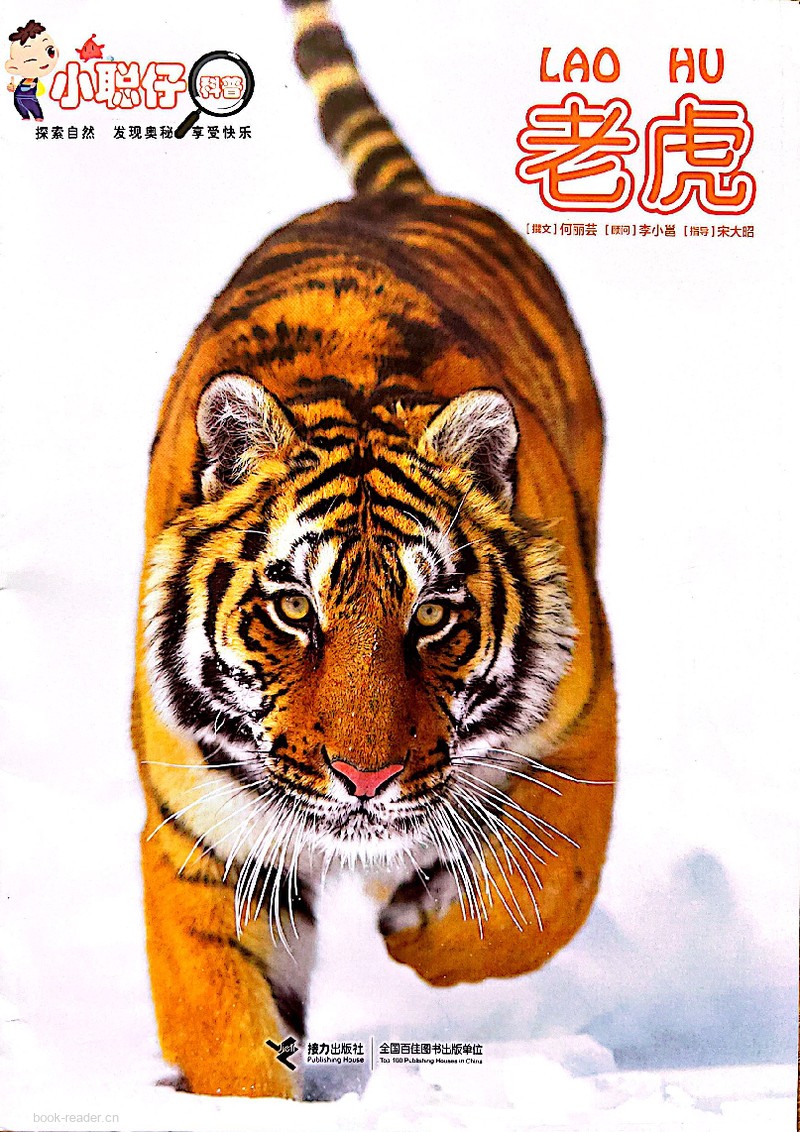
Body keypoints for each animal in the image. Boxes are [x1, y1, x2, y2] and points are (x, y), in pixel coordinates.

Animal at [132, 0, 616, 1100]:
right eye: (291, 609)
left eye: (431, 615)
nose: (365, 780)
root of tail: (407, 196)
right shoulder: (200, 829)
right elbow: (223, 1018)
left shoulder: (583, 721)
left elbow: (542, 894)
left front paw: (419, 921)